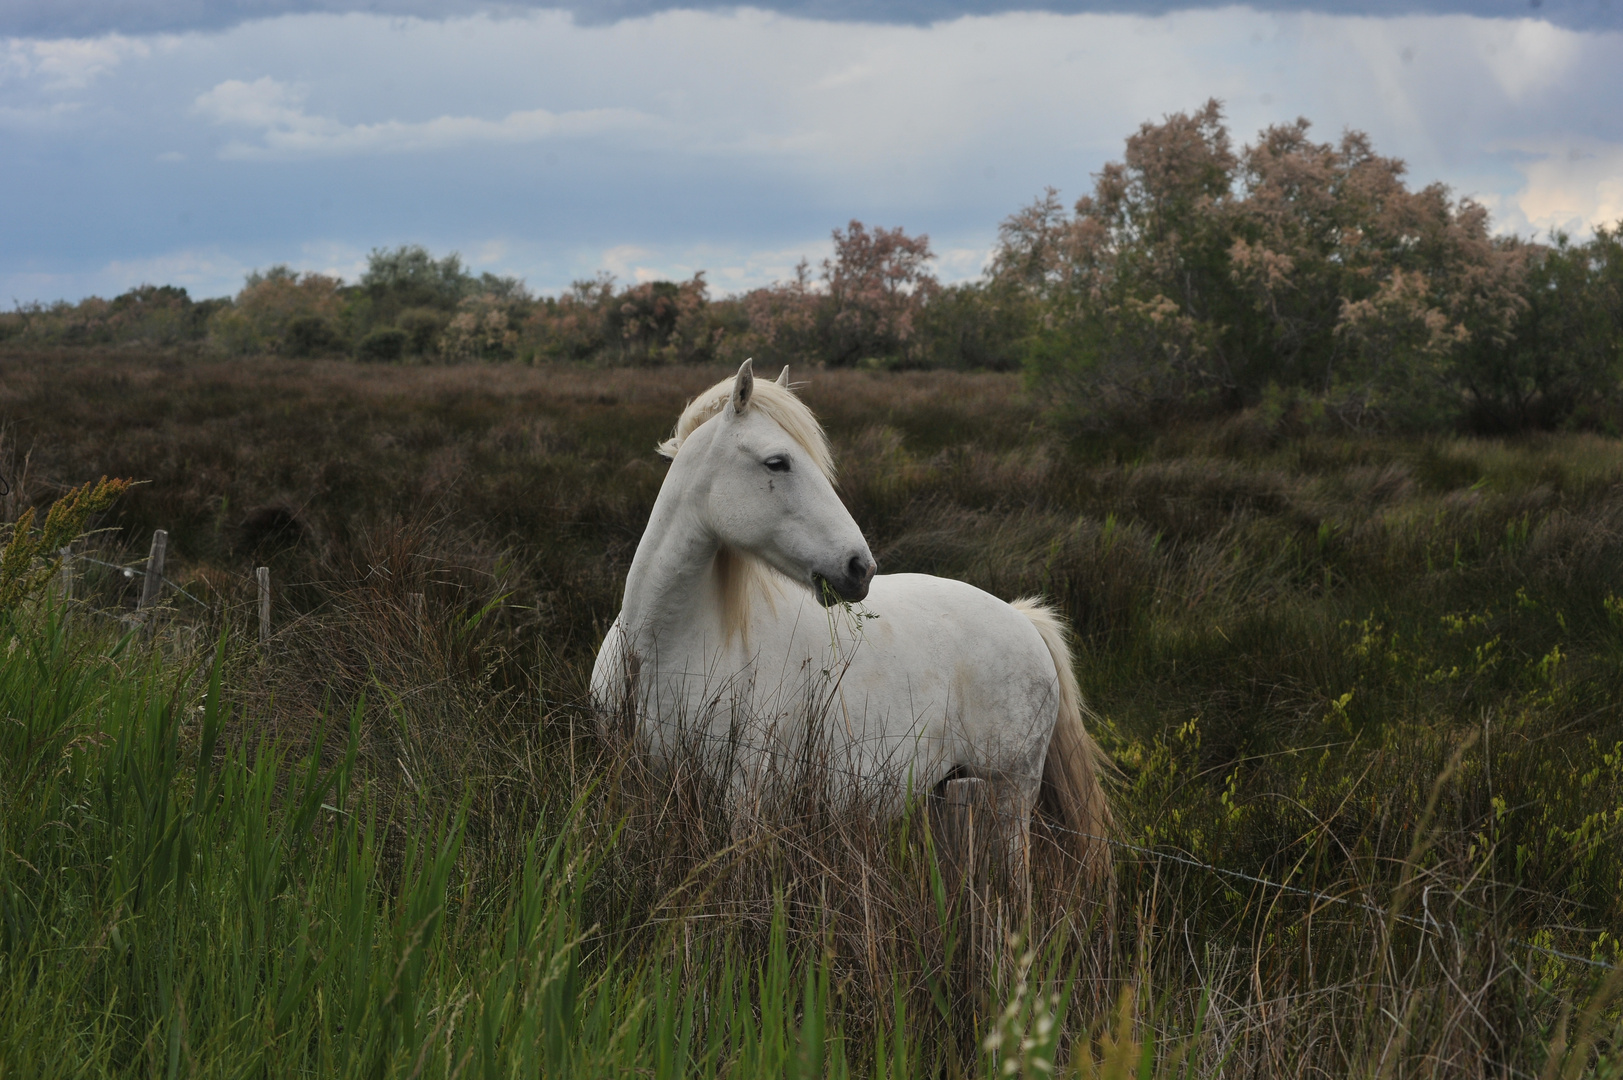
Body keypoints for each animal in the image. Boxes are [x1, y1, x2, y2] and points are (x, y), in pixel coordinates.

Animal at [590, 357, 1110, 883]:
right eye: (777, 462)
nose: (860, 568)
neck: (661, 647)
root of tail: (1023, 620)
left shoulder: (744, 795)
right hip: (948, 794)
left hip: (1010, 794)